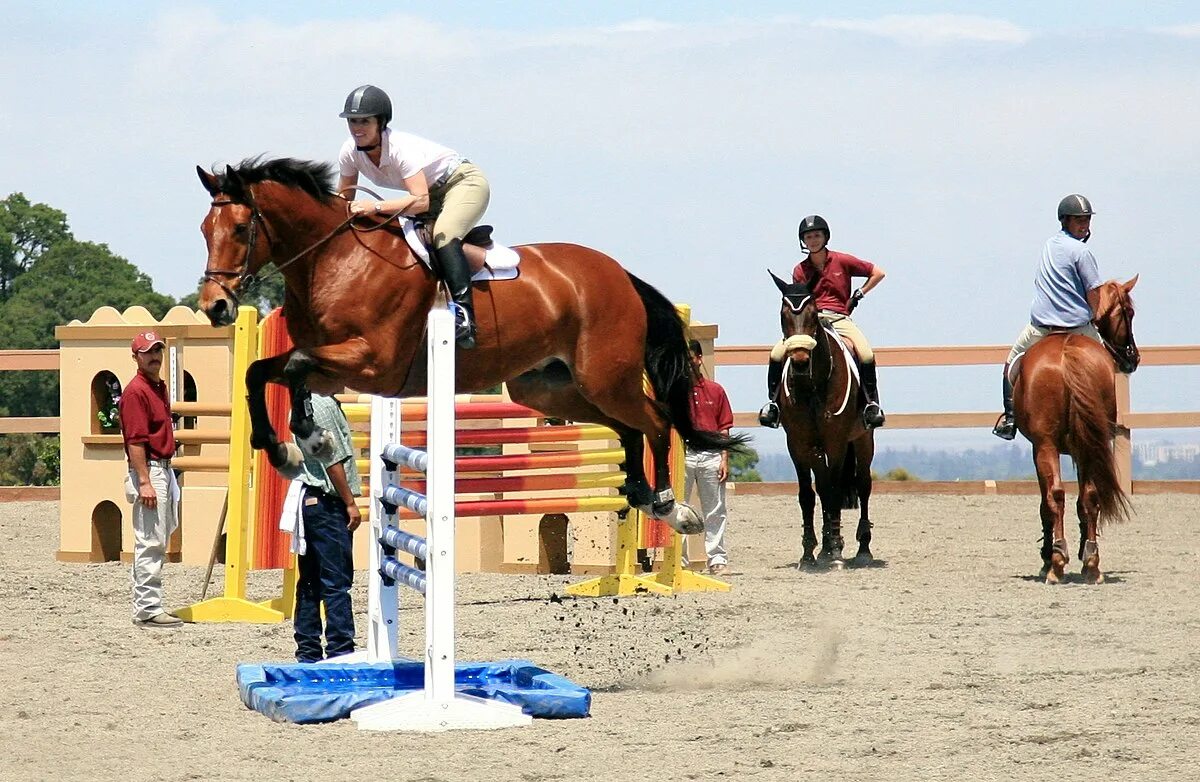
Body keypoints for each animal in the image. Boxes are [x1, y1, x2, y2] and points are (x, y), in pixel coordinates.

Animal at [196, 155, 744, 534]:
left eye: (241, 228)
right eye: (205, 230)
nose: (215, 307)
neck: (335, 259)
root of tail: (621, 275)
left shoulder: (371, 363)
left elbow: (292, 368)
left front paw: (310, 439)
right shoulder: (337, 365)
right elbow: (263, 371)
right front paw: (282, 448)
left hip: (605, 378)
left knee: (657, 421)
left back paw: (671, 506)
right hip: (549, 389)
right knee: (629, 426)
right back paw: (638, 491)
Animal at [772, 272, 878, 566]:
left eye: (813, 312)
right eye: (783, 314)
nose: (799, 360)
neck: (813, 386)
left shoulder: (836, 441)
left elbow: (833, 490)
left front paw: (836, 551)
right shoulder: (797, 444)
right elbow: (808, 495)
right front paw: (810, 551)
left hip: (863, 439)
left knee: (863, 484)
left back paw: (862, 548)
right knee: (822, 487)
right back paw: (825, 547)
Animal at [1012, 278, 1142, 582]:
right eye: (1129, 313)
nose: (1133, 358)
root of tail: (1067, 352)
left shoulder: (1041, 447)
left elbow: (1047, 502)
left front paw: (1049, 558)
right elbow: (1083, 499)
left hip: (1046, 445)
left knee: (1056, 496)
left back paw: (1057, 562)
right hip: (1084, 443)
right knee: (1087, 496)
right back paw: (1091, 564)